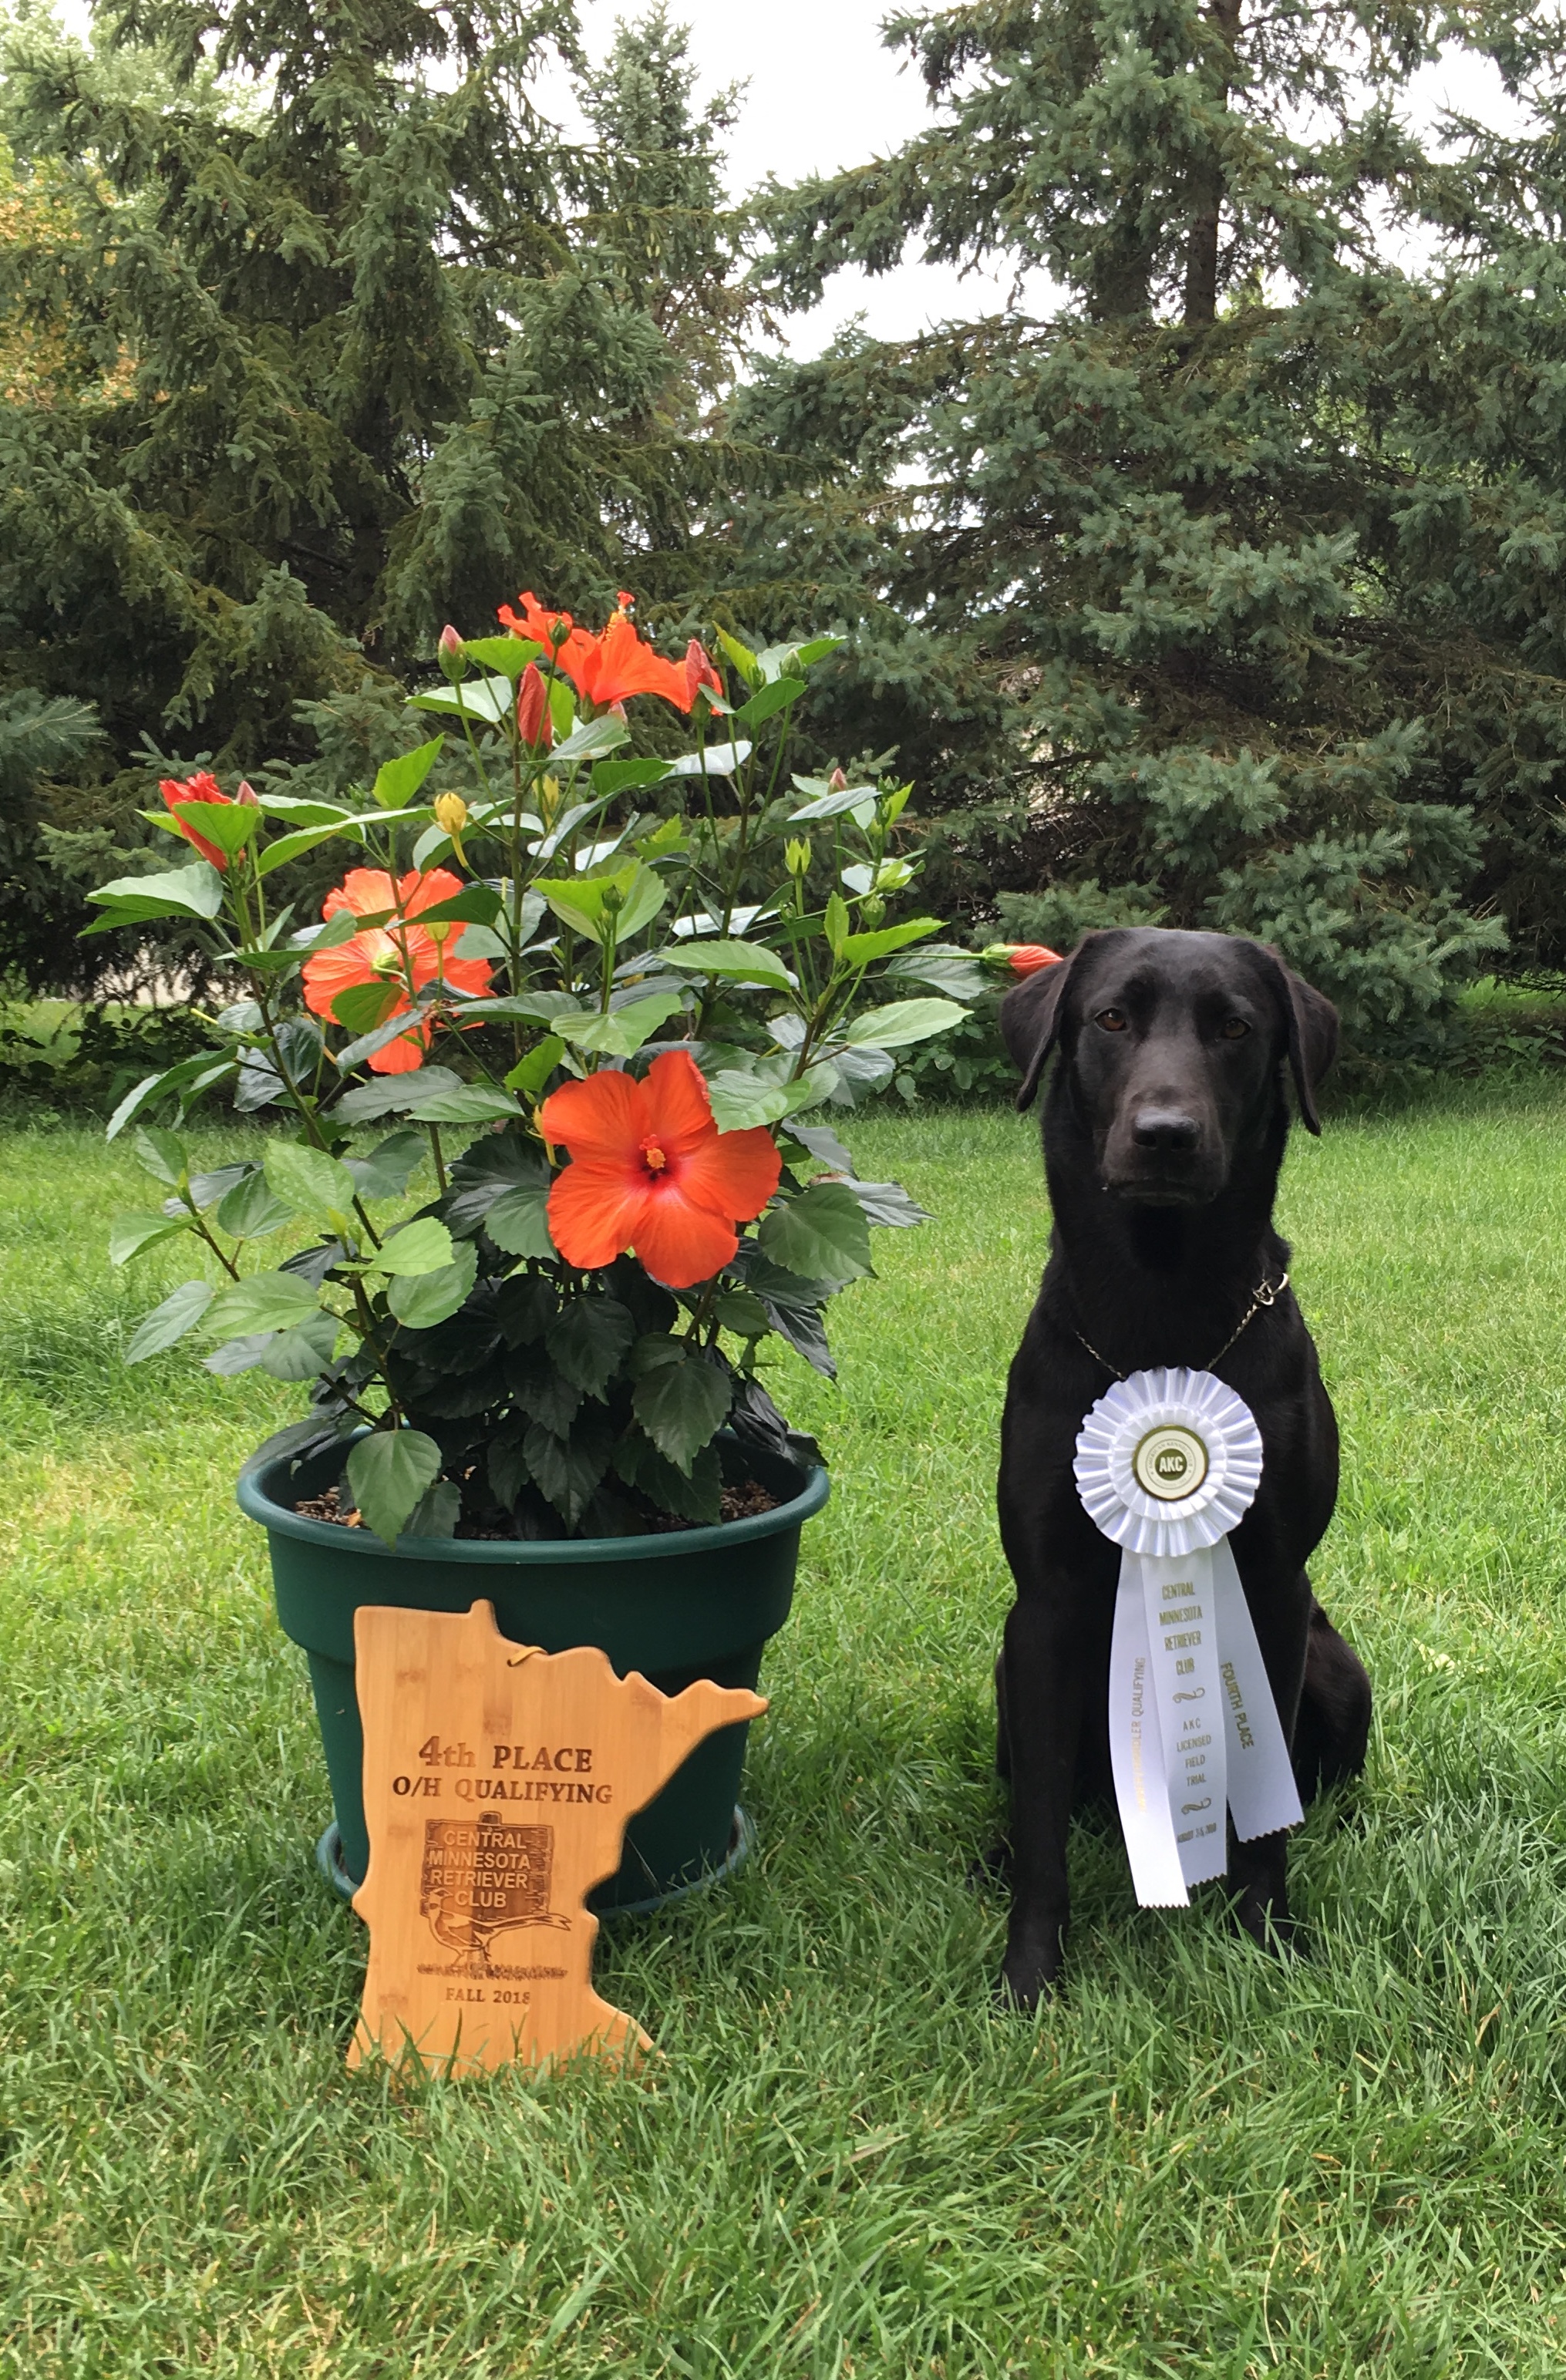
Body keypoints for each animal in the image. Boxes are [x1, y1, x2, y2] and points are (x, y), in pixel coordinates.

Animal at [990, 918, 1370, 1999]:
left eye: (1236, 1028)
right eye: (1112, 1018)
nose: (1166, 1133)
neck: (1161, 1313)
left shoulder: (1277, 1583)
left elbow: (1266, 1806)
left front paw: (1267, 1931)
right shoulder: (1043, 1605)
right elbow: (1041, 1825)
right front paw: (1029, 1974)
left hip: (1342, 1667)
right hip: (1004, 1669)